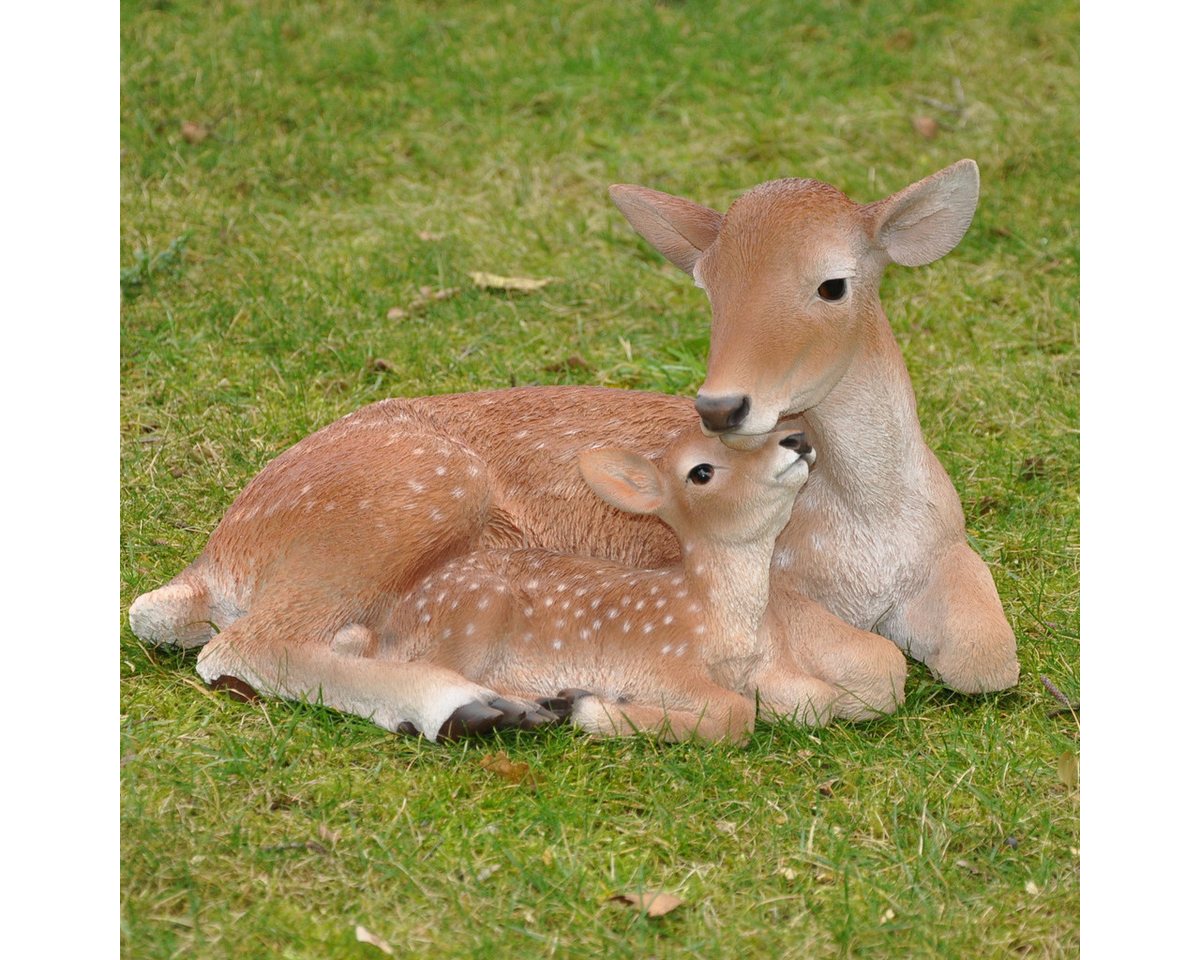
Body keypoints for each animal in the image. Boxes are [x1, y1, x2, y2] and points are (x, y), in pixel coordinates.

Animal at [128, 159, 1011, 742]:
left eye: (833, 283)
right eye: (710, 290)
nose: (722, 406)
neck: (868, 527)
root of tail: (214, 559)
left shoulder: (951, 548)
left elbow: (988, 659)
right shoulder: (773, 586)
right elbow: (878, 668)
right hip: (397, 503)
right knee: (248, 645)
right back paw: (467, 706)